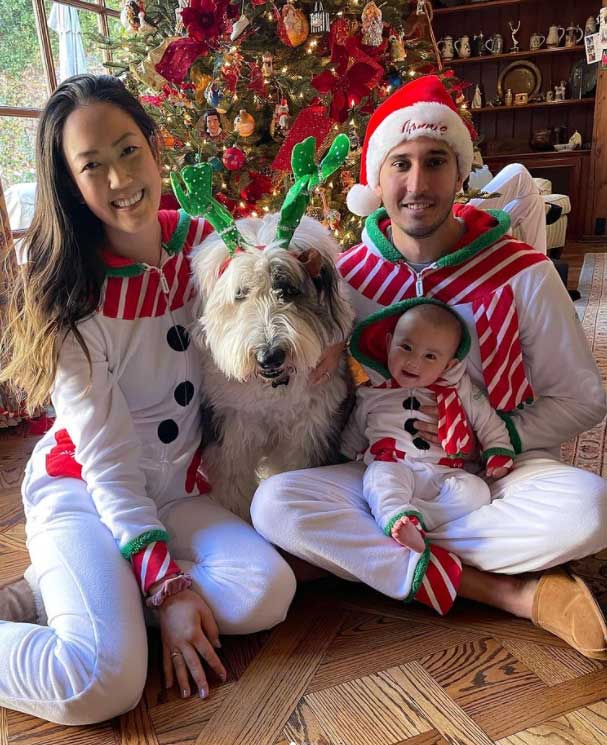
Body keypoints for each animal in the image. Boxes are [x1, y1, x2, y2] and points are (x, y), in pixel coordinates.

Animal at [190, 213, 354, 520]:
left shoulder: (308, 432)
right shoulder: (231, 432)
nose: (270, 356)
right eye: (241, 293)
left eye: (286, 290)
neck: (272, 392)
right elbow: (233, 486)